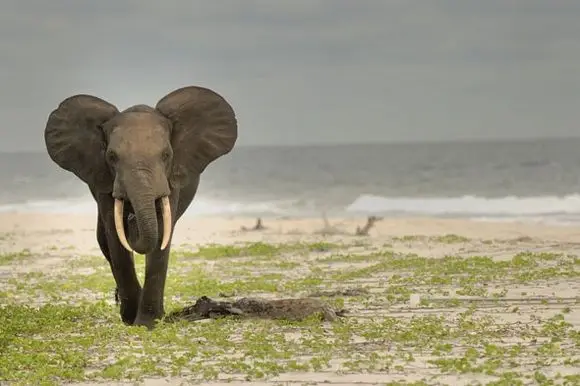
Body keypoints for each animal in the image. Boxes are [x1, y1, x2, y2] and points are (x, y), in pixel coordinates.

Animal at [42, 85, 238, 328]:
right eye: (112, 156)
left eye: (166, 155)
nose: (132, 218)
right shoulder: (104, 179)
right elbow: (115, 237)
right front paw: (130, 319)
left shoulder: (170, 178)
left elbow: (162, 231)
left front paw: (148, 322)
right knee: (102, 239)